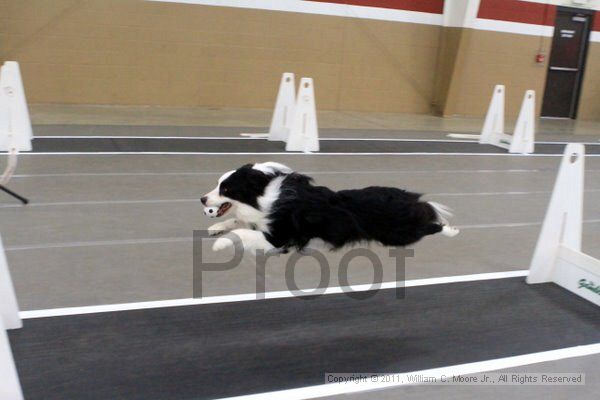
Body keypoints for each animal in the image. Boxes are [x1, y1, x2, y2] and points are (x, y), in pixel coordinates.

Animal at [202, 162, 460, 253]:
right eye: (217, 185)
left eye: (225, 189)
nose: (202, 200)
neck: (263, 197)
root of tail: (413, 200)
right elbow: (237, 221)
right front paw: (215, 228)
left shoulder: (279, 238)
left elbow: (241, 231)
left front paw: (219, 244)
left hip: (399, 234)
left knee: (432, 226)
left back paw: (451, 229)